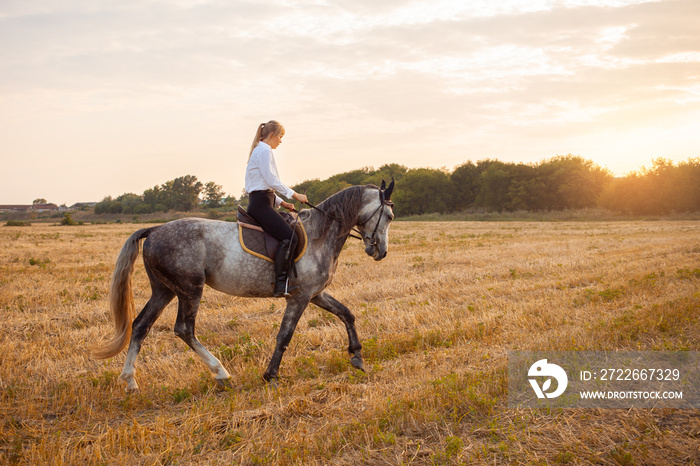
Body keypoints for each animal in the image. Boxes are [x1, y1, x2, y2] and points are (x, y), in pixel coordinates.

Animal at [93, 180, 394, 392]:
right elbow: (284, 336)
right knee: (184, 329)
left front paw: (357, 357)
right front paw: (270, 376)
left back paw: (130, 381)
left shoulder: (314, 293)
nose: (380, 252)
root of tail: (154, 229)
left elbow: (346, 314)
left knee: (140, 325)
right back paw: (221, 373)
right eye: (390, 216)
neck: (321, 234)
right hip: (190, 289)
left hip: (164, 290)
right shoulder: (299, 297)